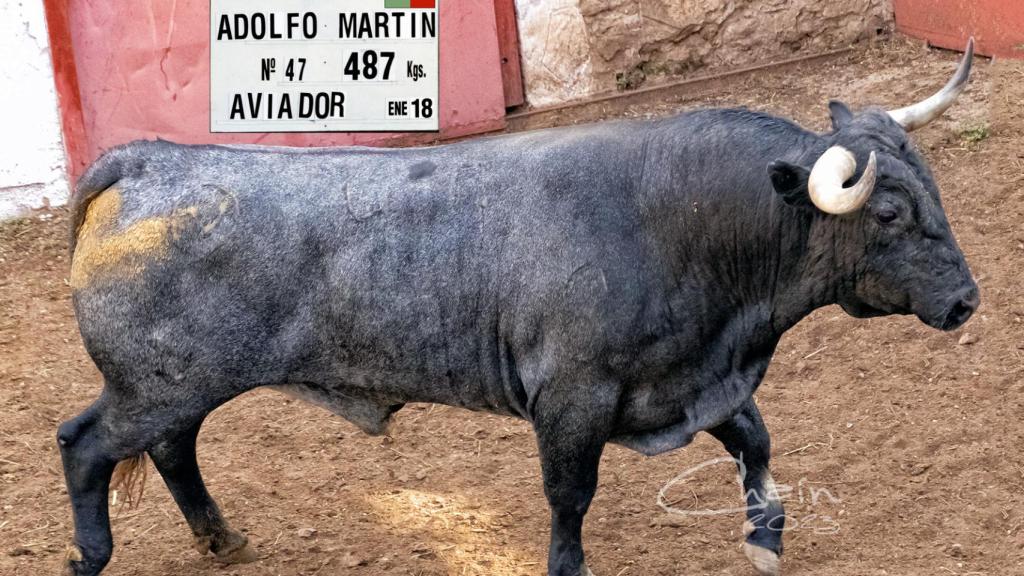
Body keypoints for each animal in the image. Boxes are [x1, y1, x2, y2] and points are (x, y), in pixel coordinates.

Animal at [61, 97, 974, 569]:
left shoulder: (688, 382)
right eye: (888, 213)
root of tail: (148, 159)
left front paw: (766, 538)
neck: (671, 218)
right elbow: (570, 495)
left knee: (172, 450)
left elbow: (755, 440)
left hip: (176, 388)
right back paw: (92, 554)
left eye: (930, 187)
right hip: (155, 387)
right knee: (83, 444)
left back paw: (222, 541)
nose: (967, 300)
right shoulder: (572, 399)